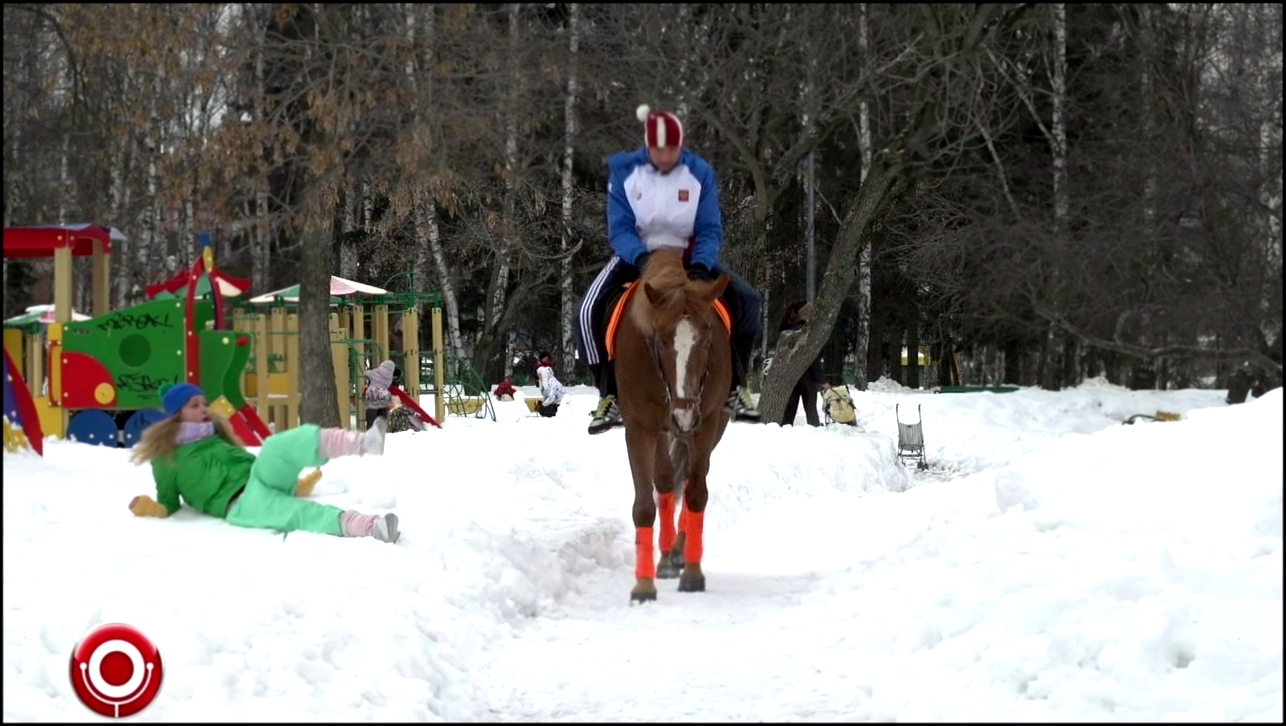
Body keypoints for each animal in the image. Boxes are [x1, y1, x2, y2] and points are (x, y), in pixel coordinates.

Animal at [612, 247, 735, 601]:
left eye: (707, 338)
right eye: (660, 339)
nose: (683, 414)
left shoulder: (706, 423)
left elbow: (696, 494)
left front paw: (693, 574)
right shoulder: (639, 427)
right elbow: (644, 505)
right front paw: (643, 586)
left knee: (692, 479)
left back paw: (678, 554)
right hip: (663, 431)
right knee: (666, 482)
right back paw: (666, 558)